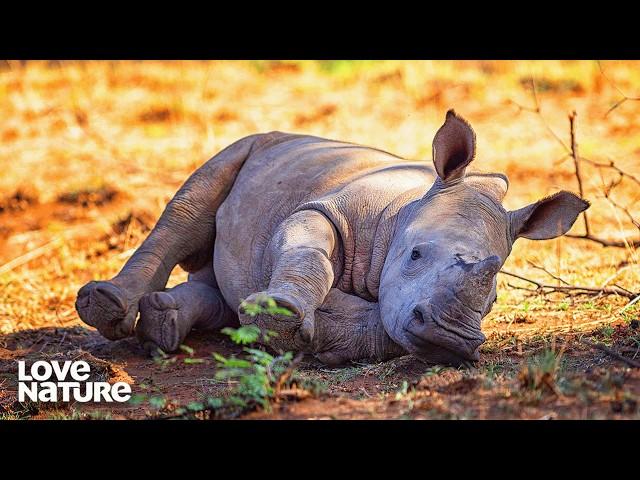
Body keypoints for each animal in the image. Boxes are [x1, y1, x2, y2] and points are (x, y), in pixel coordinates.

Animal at [76, 110, 592, 366]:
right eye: (415, 254)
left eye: (492, 299)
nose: (450, 339)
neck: (405, 212)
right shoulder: (321, 210)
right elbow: (310, 255)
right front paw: (280, 319)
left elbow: (385, 322)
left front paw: (316, 338)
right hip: (252, 144)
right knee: (186, 209)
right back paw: (109, 307)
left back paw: (164, 326)